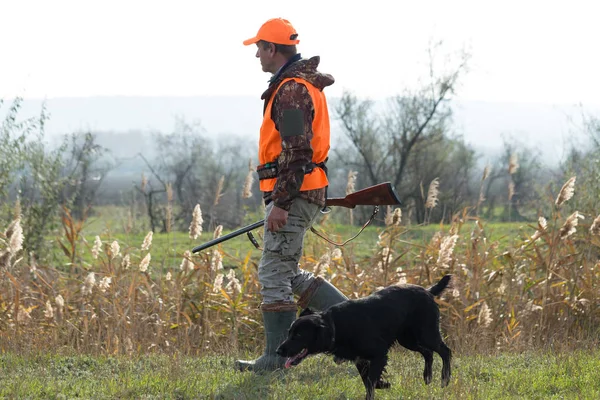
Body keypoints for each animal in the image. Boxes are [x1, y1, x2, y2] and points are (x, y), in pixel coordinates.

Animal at [276, 276, 450, 400]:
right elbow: (369, 382)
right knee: (428, 353)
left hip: (426, 334)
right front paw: (384, 383)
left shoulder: (379, 354)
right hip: (408, 340)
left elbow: (371, 383)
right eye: (289, 333)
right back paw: (427, 378)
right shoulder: (360, 359)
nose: (278, 351)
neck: (336, 326)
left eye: (298, 335)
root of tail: (427, 291)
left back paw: (445, 380)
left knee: (445, 351)